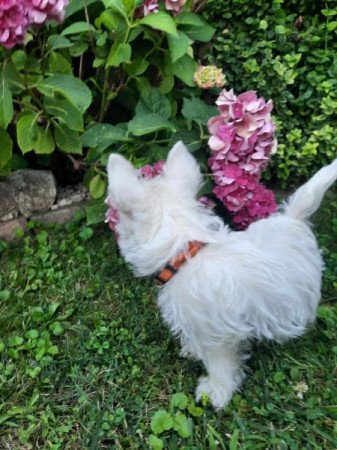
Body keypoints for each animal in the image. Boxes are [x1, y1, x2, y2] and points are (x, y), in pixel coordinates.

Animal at [107, 142, 336, 410]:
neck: (185, 251)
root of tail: (292, 219)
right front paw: (192, 350)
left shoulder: (218, 337)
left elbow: (220, 365)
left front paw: (216, 392)